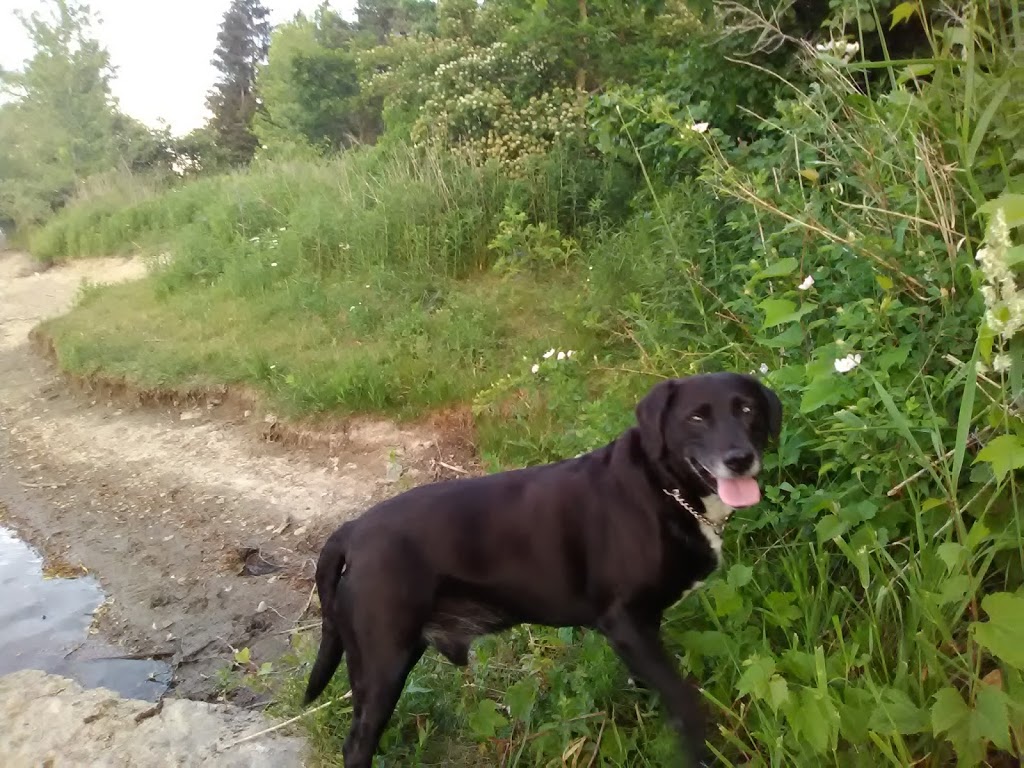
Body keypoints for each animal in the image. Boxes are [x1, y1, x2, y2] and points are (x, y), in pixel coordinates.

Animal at [299, 370, 778, 765]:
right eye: (696, 418)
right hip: (383, 663)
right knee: (357, 744)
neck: (662, 486)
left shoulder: (643, 629)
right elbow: (685, 703)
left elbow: (655, 688)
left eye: (747, 409)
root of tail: (353, 530)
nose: (739, 458)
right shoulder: (623, 620)